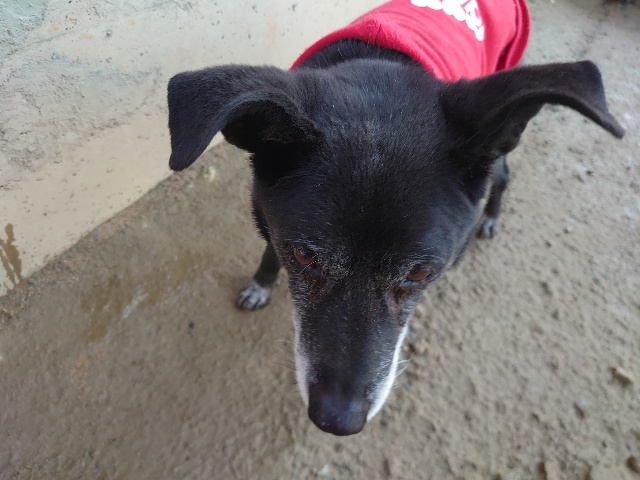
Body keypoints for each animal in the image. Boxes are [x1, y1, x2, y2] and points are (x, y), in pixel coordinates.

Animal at [166, 0, 624, 436]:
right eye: (305, 257)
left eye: (420, 274)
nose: (338, 420)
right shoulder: (270, 212)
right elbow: (269, 248)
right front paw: (262, 283)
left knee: (503, 174)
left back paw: (491, 217)